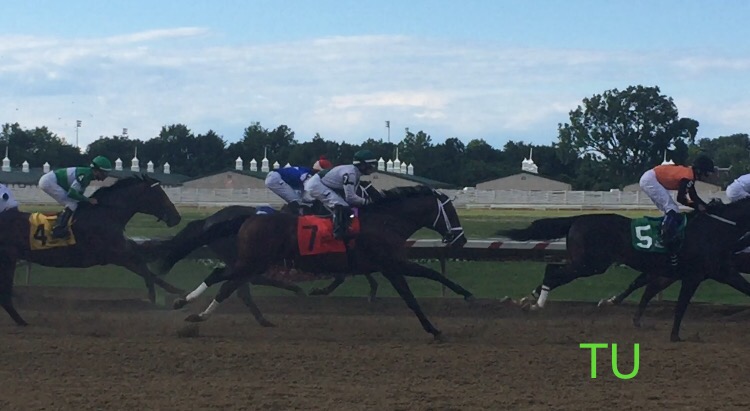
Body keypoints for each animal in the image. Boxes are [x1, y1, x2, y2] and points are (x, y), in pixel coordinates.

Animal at [0, 175, 184, 326]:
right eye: (159, 195)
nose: (177, 217)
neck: (106, 214)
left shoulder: (123, 250)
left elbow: (146, 266)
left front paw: (173, 291)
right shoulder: (117, 255)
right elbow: (144, 269)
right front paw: (161, 294)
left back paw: (21, 320)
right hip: (8, 259)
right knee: (5, 296)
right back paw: (22, 321)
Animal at [173, 187, 472, 342]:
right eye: (450, 211)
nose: (461, 240)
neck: (386, 221)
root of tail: (249, 217)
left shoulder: (384, 265)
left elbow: (430, 276)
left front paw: (463, 295)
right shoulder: (391, 264)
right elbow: (414, 293)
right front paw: (436, 327)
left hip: (252, 261)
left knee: (227, 282)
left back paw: (192, 311)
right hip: (251, 261)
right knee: (223, 279)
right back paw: (188, 307)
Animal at [502, 199, 750, 342]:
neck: (715, 229)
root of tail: (579, 219)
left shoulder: (716, 272)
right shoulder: (695, 275)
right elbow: (680, 306)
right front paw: (675, 336)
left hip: (586, 263)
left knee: (553, 269)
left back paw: (528, 299)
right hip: (589, 264)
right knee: (553, 272)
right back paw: (536, 304)